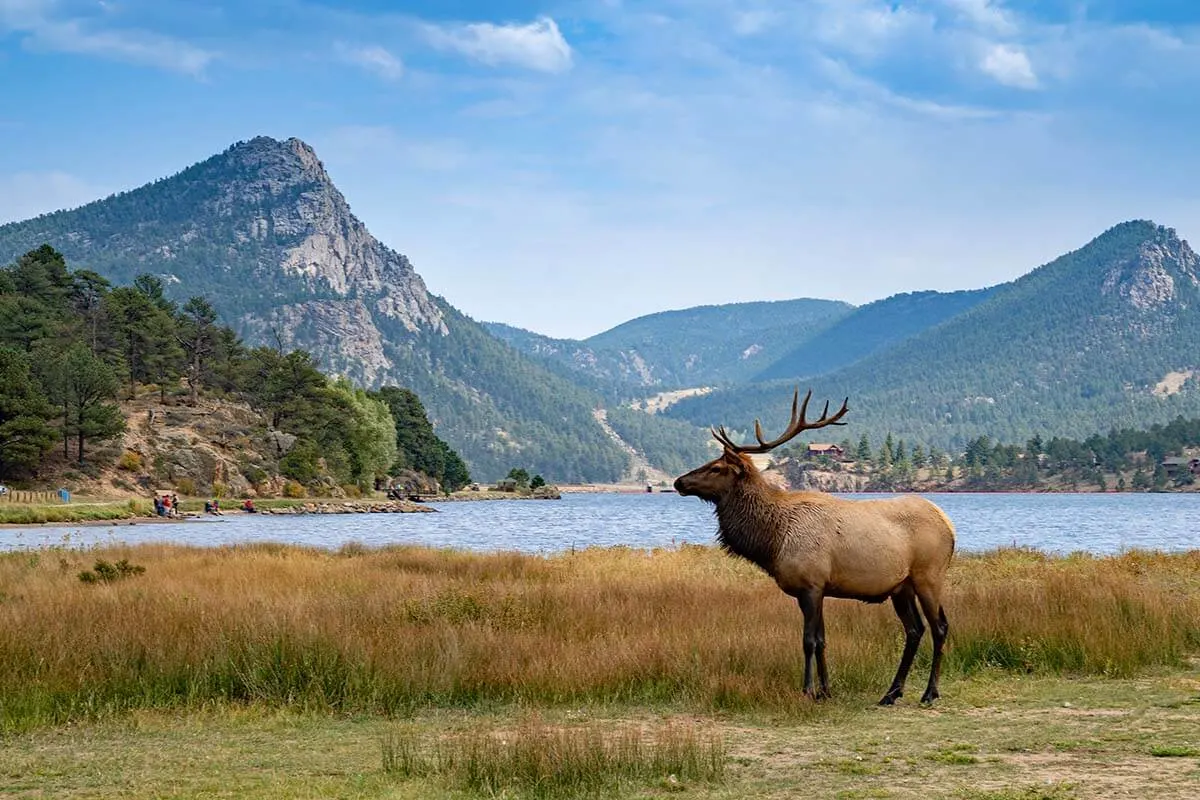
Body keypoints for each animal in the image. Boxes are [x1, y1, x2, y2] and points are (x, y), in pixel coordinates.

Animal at [676, 388, 955, 705]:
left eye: (716, 467)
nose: (678, 482)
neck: (773, 541)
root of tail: (950, 526)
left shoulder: (811, 584)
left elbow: (808, 640)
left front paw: (807, 690)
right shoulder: (816, 588)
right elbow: (822, 640)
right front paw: (826, 690)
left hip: (929, 575)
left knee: (939, 627)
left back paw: (930, 692)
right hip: (901, 586)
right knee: (914, 629)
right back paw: (891, 692)